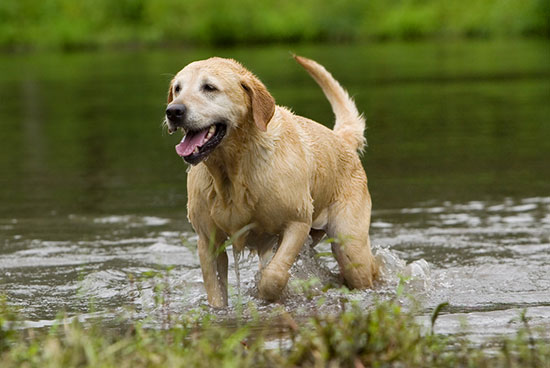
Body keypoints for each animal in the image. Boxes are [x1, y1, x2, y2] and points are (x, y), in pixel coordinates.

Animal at [165, 55, 380, 308]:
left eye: (209, 87)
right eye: (177, 89)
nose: (173, 111)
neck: (233, 170)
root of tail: (341, 140)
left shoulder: (297, 222)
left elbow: (273, 276)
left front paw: (268, 296)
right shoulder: (208, 240)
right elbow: (215, 291)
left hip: (350, 244)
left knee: (367, 268)